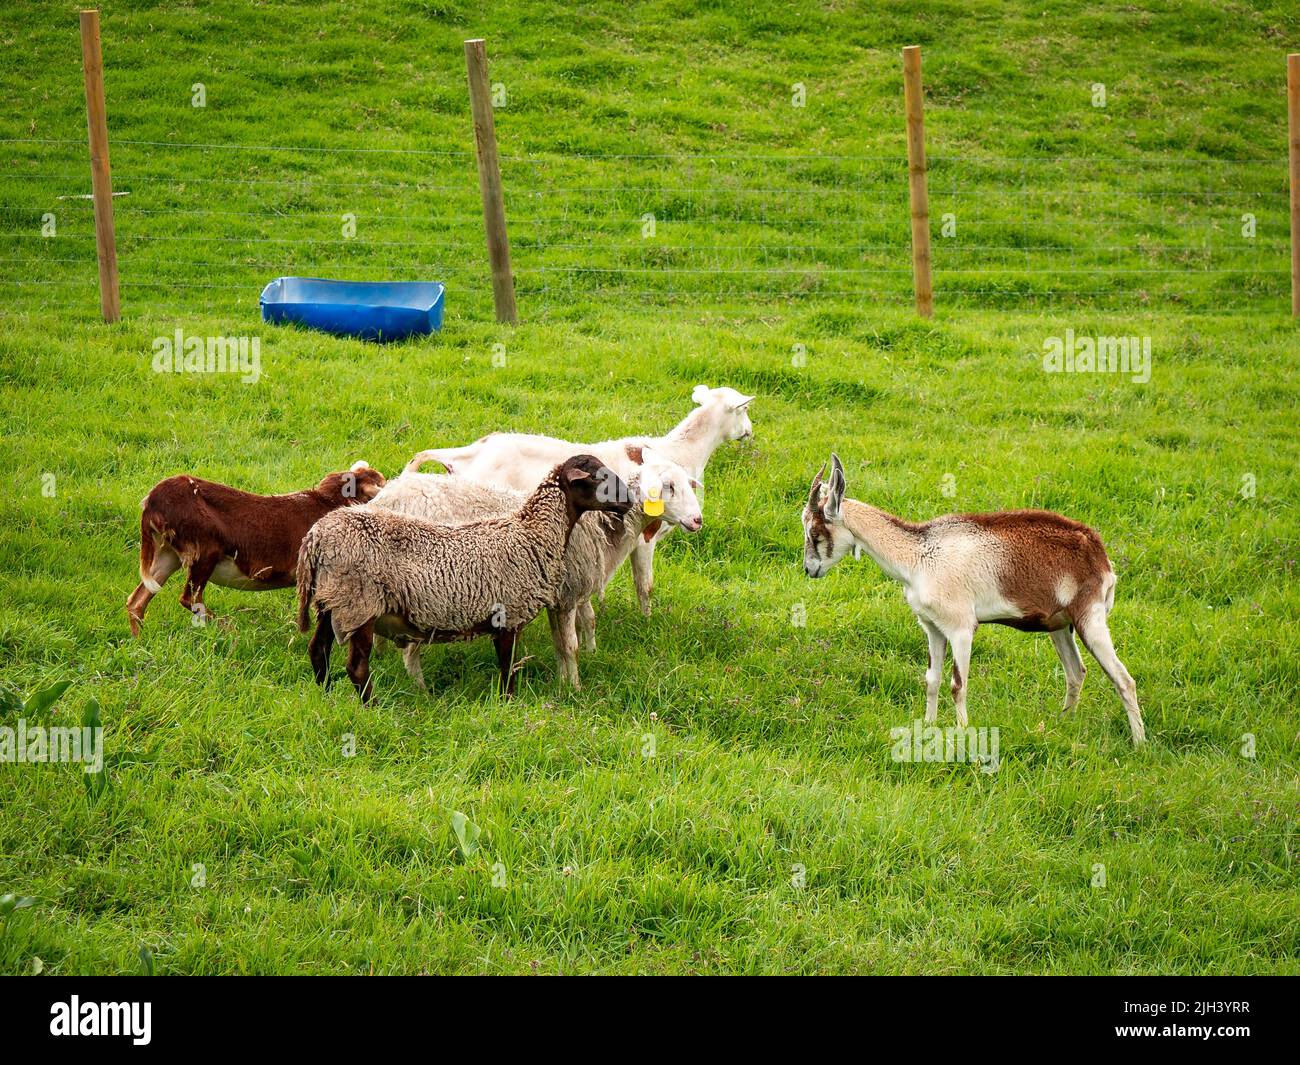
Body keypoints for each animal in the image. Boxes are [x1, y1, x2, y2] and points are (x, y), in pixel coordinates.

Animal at [126, 460, 384, 631]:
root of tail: (151, 503)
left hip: (167, 553)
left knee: (137, 600)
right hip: (204, 550)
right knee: (189, 599)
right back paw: (227, 627)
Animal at [299, 455, 634, 702]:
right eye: (597, 477)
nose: (629, 501)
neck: (531, 534)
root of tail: (316, 537)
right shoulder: (508, 614)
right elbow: (509, 667)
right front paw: (509, 702)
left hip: (332, 601)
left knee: (318, 650)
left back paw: (326, 695)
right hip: (359, 605)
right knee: (356, 667)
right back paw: (372, 706)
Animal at [800, 455, 1149, 743]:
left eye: (815, 532)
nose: (809, 569)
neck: (919, 556)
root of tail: (1099, 555)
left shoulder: (962, 628)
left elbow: (958, 685)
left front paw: (963, 733)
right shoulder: (933, 628)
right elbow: (932, 680)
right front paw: (928, 726)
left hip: (1090, 619)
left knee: (1124, 680)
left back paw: (1139, 744)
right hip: (1060, 626)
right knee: (1076, 673)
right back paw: (1062, 724)